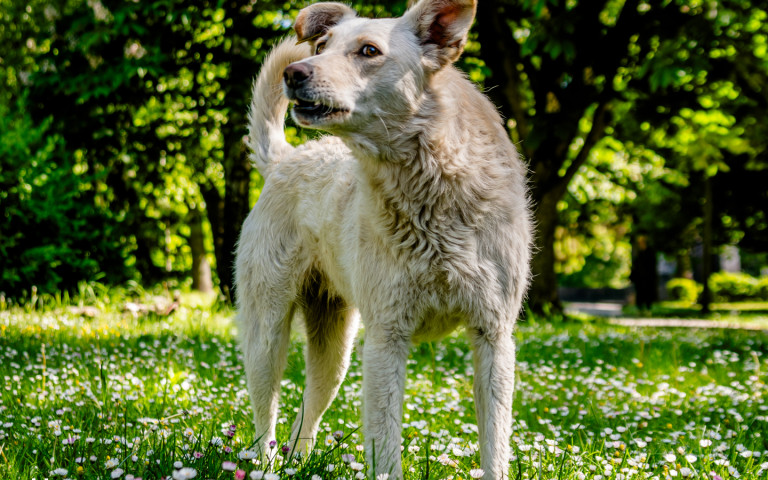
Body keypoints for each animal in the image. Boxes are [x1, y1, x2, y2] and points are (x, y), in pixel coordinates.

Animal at [237, 0, 532, 476]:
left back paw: (297, 462)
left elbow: (495, 446)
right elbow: (386, 444)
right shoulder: (386, 338)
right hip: (267, 334)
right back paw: (265, 465)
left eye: (369, 51)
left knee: (306, 409)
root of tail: (287, 159)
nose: (294, 73)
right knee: (266, 417)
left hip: (334, 349)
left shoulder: (493, 337)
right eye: (322, 45)